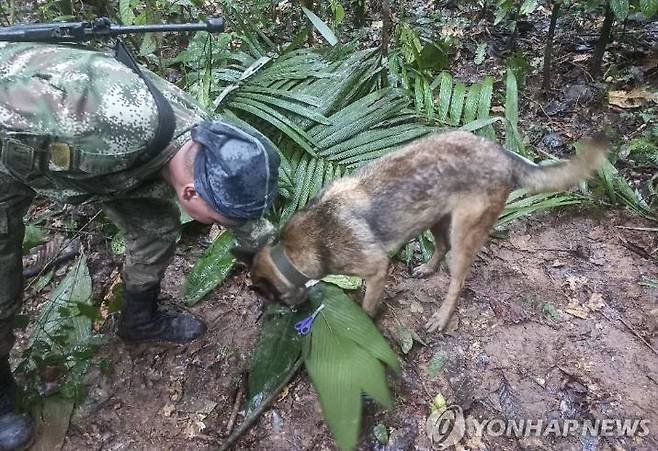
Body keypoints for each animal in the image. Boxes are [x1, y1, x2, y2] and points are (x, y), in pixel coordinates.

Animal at [233, 130, 608, 332]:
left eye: (271, 298)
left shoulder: (377, 270)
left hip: (463, 233)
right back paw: (427, 268)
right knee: (439, 248)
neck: (293, 250)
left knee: (457, 280)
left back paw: (441, 316)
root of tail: (502, 153)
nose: (295, 315)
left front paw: (365, 323)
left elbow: (367, 305)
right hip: (435, 218)